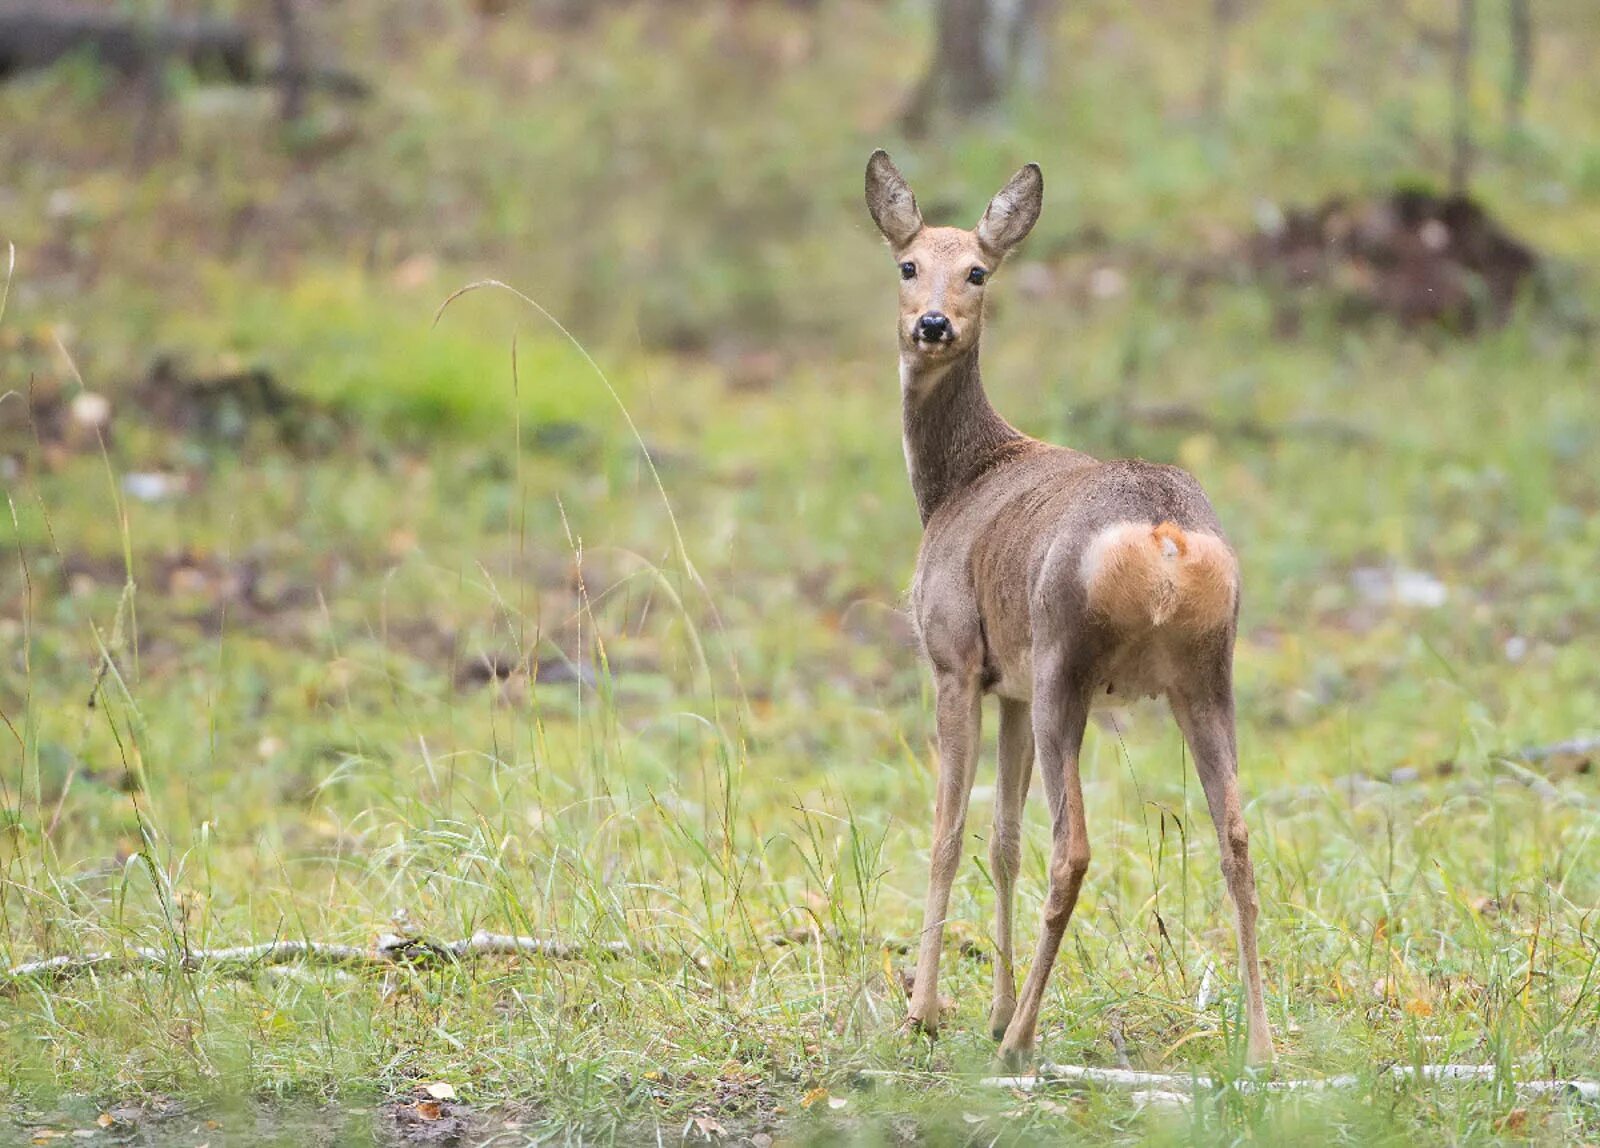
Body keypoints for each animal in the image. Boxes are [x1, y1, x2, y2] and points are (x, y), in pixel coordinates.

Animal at [864, 150, 1273, 1068]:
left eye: (978, 270)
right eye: (907, 264)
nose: (933, 324)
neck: (958, 480)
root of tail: (1163, 539)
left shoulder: (953, 658)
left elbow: (947, 833)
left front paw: (926, 1012)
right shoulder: (1008, 682)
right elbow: (1001, 841)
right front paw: (984, 1007)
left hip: (1069, 666)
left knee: (1074, 849)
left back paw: (1019, 1045)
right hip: (1207, 673)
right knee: (1235, 837)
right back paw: (1263, 1048)